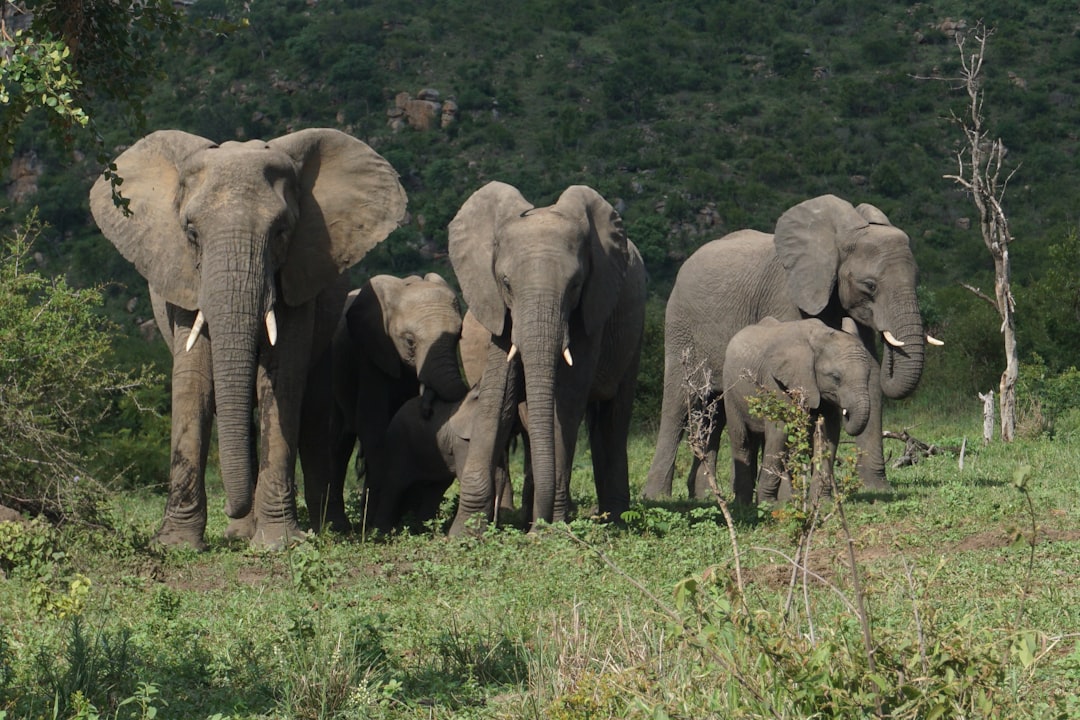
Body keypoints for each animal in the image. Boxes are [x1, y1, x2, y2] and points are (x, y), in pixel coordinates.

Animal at [90, 128, 407, 550]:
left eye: (281, 232)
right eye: (191, 233)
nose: (230, 506)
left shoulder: (297, 276)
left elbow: (282, 380)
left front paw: (279, 543)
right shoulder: (182, 278)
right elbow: (193, 384)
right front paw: (175, 544)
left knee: (312, 412)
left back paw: (326, 529)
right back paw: (241, 533)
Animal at [318, 273, 469, 533]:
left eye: (459, 336)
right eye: (409, 341)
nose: (427, 407)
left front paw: (407, 518)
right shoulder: (372, 354)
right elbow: (374, 424)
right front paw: (377, 526)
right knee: (338, 443)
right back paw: (342, 524)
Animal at [447, 181, 646, 534]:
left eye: (576, 284)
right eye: (506, 283)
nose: (540, 526)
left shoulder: (592, 307)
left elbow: (566, 399)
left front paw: (547, 530)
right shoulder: (498, 309)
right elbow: (499, 395)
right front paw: (462, 534)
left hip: (633, 331)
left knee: (613, 417)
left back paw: (614, 521)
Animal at [722, 317, 874, 505]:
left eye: (869, 375)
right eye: (835, 377)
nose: (846, 413)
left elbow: (827, 435)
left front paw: (822, 503)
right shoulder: (776, 382)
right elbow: (780, 432)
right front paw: (767, 505)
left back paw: (786, 500)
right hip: (731, 392)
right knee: (742, 441)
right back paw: (744, 504)